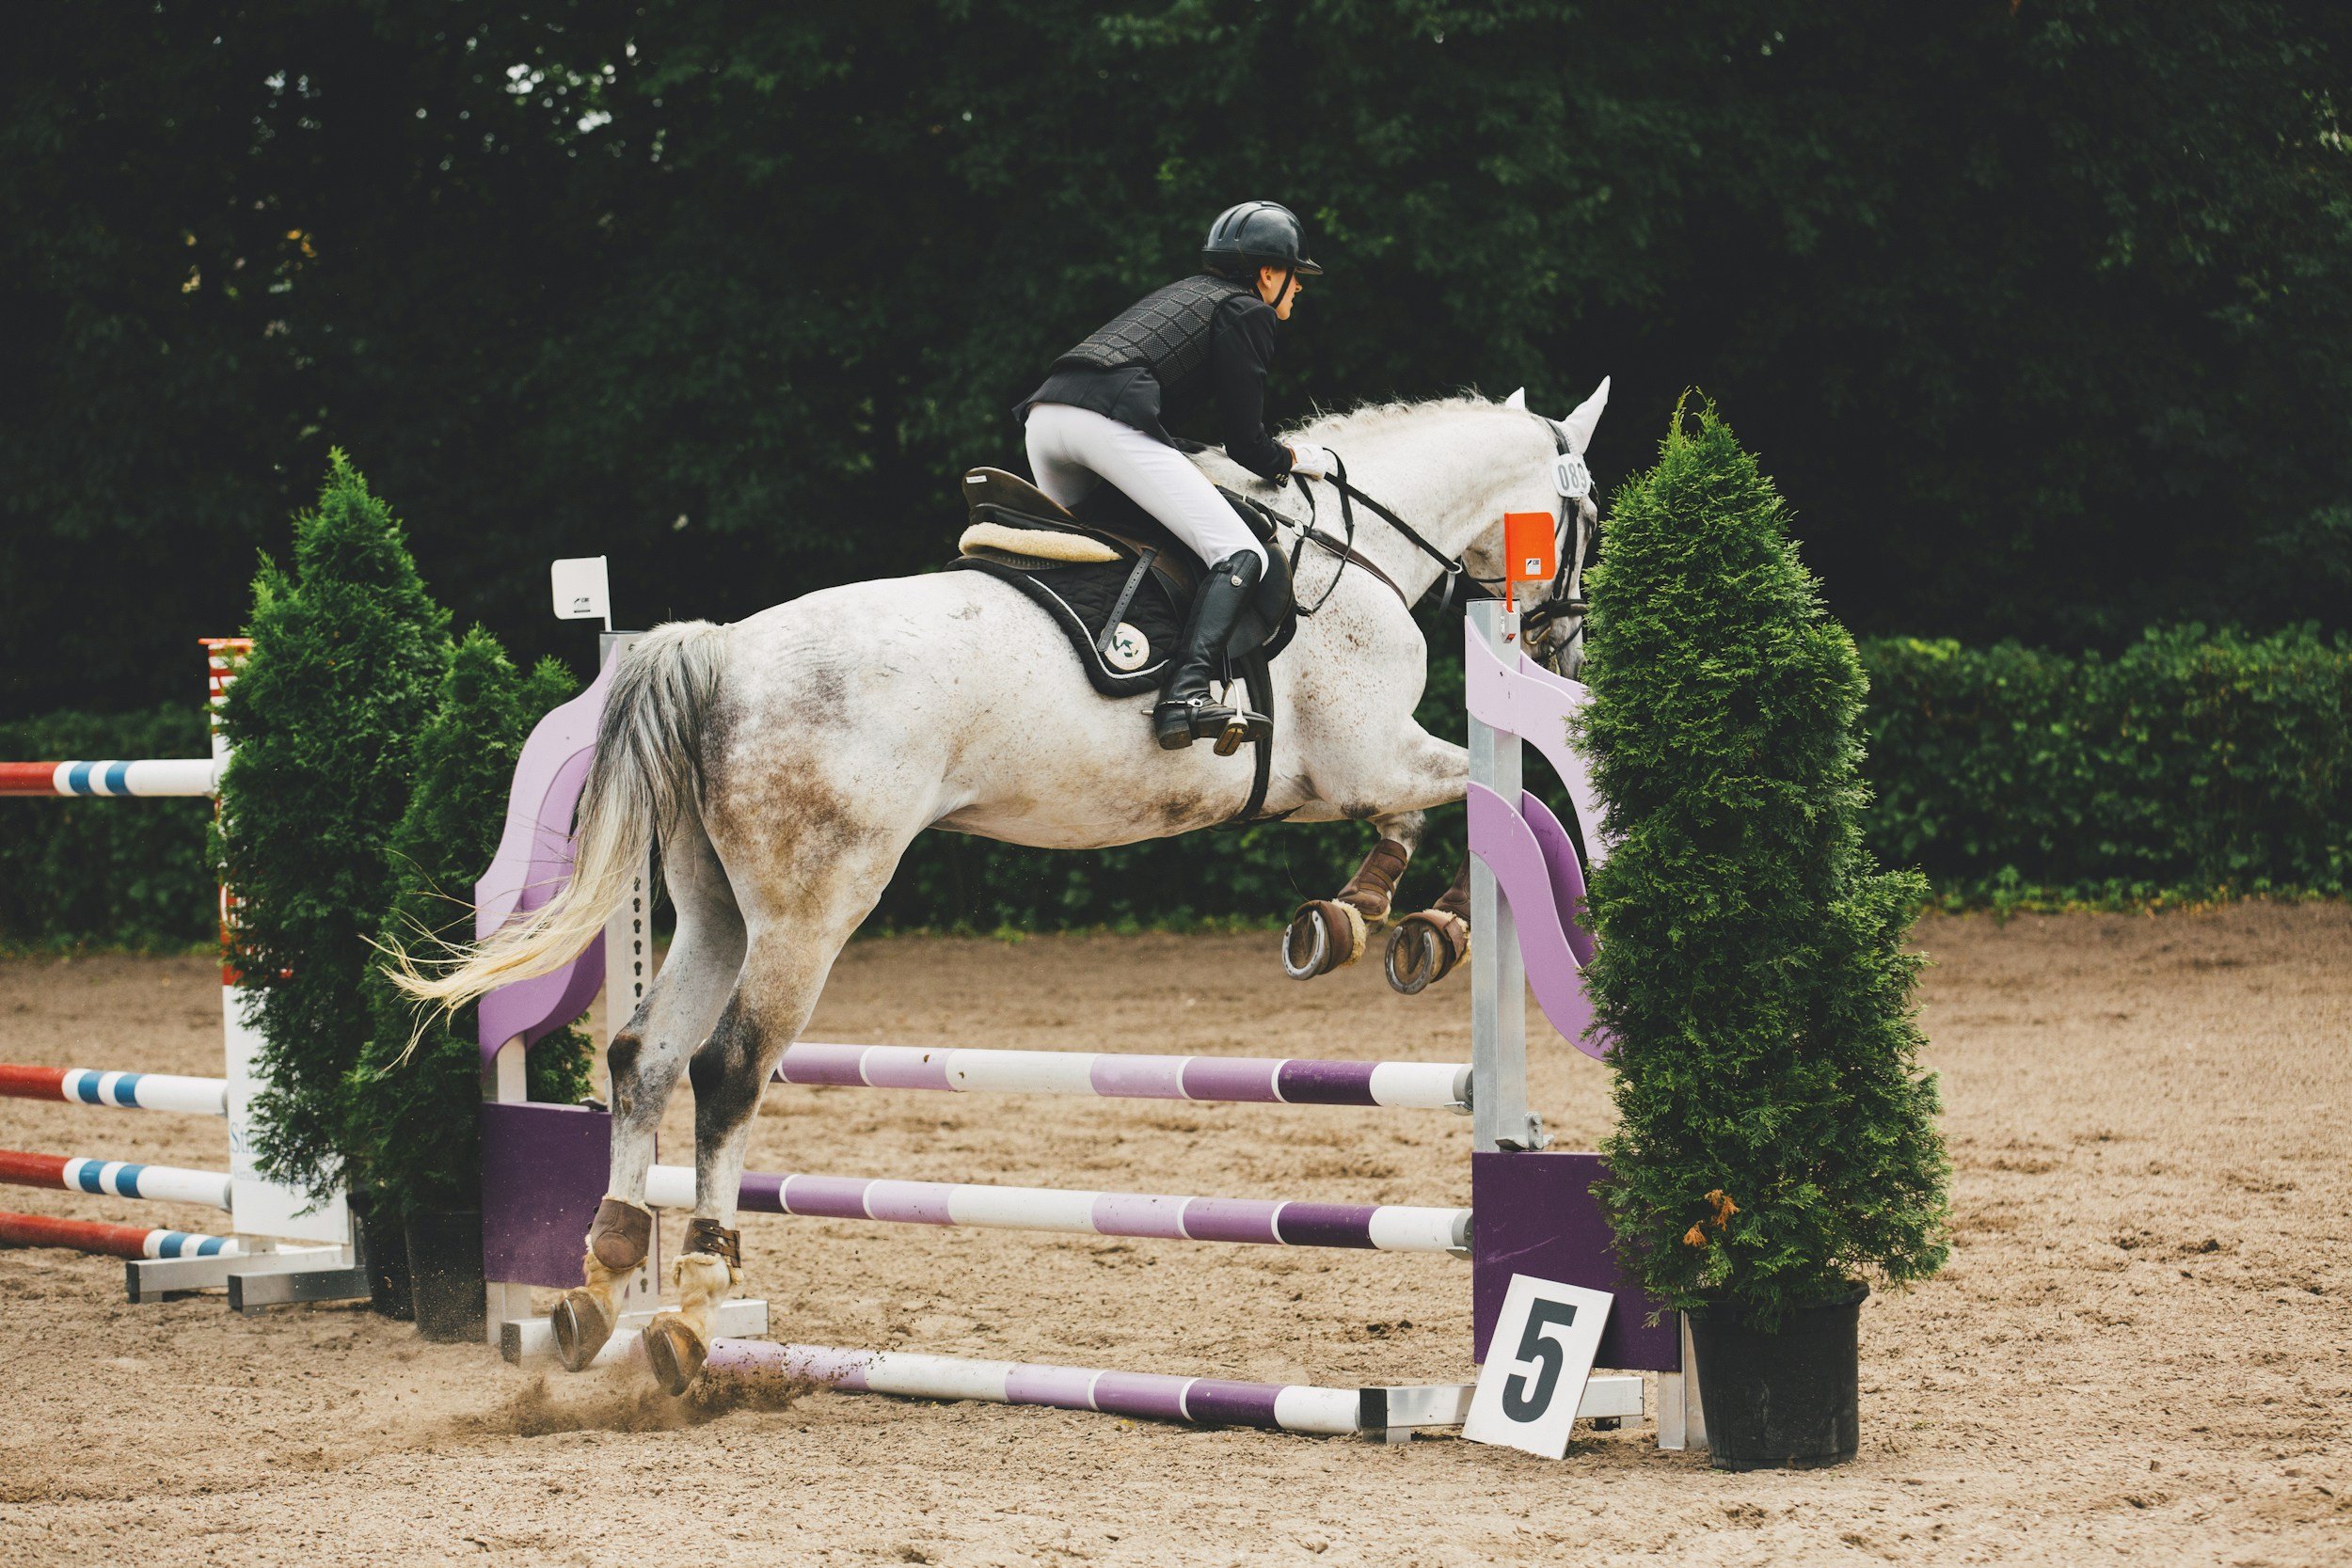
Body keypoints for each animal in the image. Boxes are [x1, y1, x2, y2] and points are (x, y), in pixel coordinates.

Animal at [395, 383, 1611, 1391]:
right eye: (1587, 514)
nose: (1567, 643)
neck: (1350, 551)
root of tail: (719, 652)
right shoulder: (1364, 758)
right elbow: (1482, 801)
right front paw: (1419, 926)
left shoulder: (1331, 777)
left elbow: (1449, 812)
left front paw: (1350, 919)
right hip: (812, 904)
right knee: (729, 1064)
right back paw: (691, 1306)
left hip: (714, 908)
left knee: (642, 1054)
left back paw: (596, 1294)